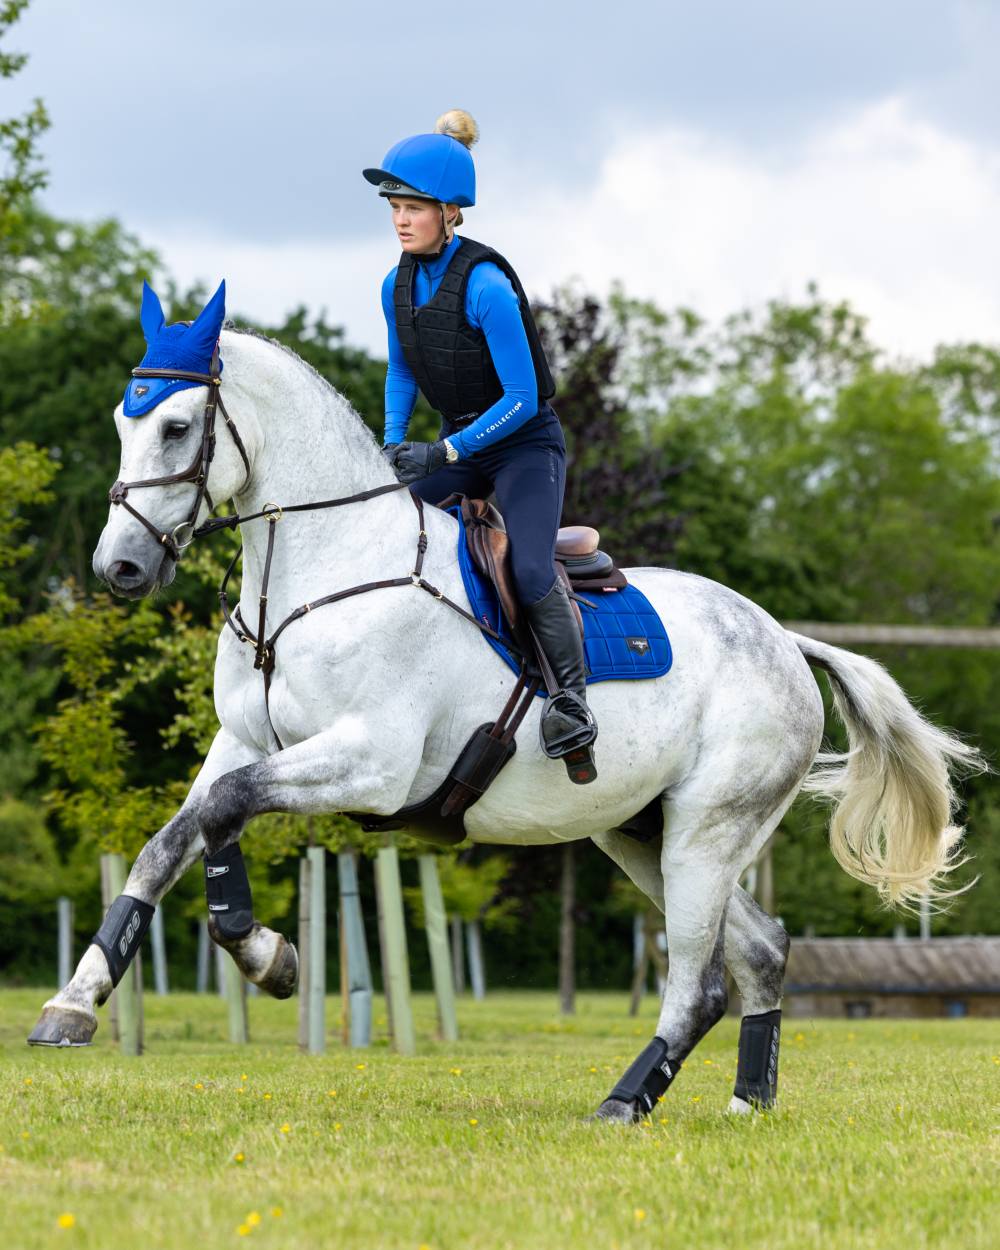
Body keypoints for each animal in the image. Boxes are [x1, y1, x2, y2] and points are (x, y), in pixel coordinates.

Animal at [29, 327, 975, 1120]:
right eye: (123, 421)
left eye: (177, 426)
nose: (119, 567)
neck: (314, 578)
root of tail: (783, 638)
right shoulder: (247, 743)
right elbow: (177, 835)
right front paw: (76, 1002)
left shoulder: (372, 763)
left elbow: (225, 809)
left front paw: (265, 956)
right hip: (641, 832)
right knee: (762, 952)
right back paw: (748, 1101)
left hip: (708, 831)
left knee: (700, 980)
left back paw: (626, 1101)